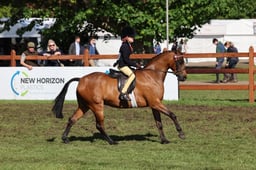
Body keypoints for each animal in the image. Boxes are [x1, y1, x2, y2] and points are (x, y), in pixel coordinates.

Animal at [52, 51, 188, 144]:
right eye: (180, 61)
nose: (184, 77)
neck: (152, 75)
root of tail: (81, 79)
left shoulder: (154, 104)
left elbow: (159, 123)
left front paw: (164, 140)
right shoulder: (155, 103)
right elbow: (172, 115)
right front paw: (181, 134)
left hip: (84, 105)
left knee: (72, 119)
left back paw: (65, 138)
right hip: (96, 105)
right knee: (99, 125)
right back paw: (112, 141)